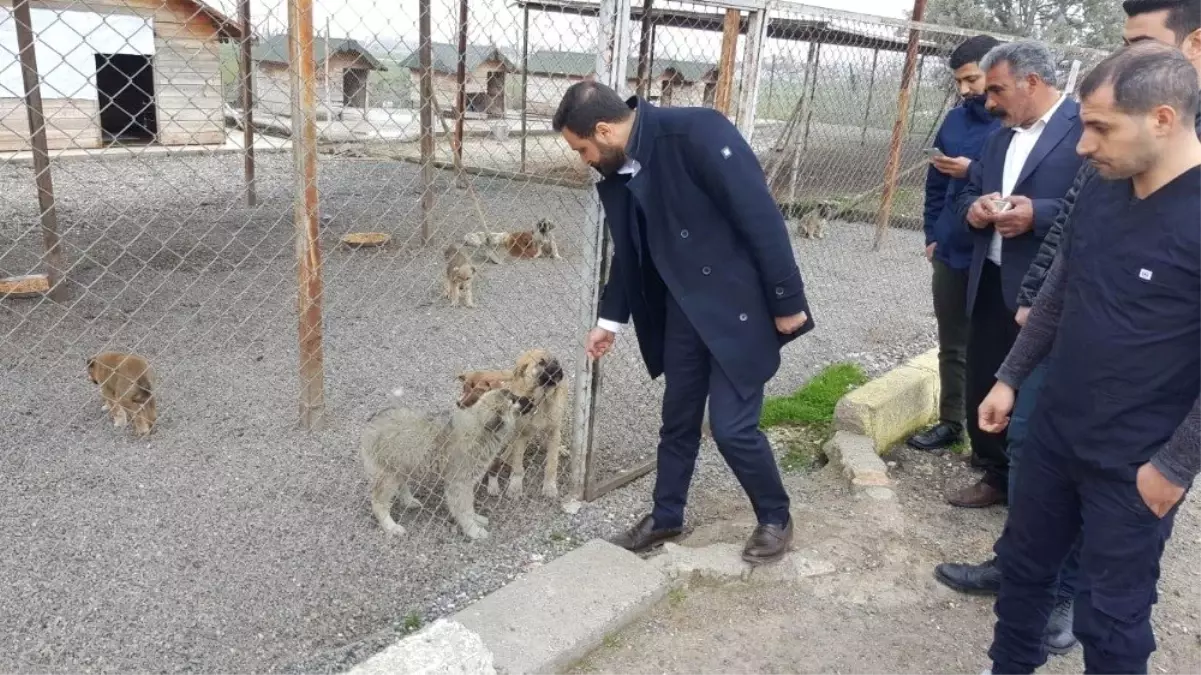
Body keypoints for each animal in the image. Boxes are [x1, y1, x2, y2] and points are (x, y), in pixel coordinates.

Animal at [357, 386, 533, 538]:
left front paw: (475, 519)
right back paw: (390, 526)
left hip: (403, 464)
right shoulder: (460, 483)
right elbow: (464, 509)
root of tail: (374, 419)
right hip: (387, 473)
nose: (531, 401)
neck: (481, 429)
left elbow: (468, 507)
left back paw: (408, 500)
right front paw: (473, 530)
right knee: (378, 502)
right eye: (514, 400)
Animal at [482, 348, 566, 497]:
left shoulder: (553, 431)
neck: (541, 399)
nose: (559, 369)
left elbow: (552, 463)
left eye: (556, 361)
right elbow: (517, 465)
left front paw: (549, 486)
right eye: (541, 362)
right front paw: (515, 487)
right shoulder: (521, 434)